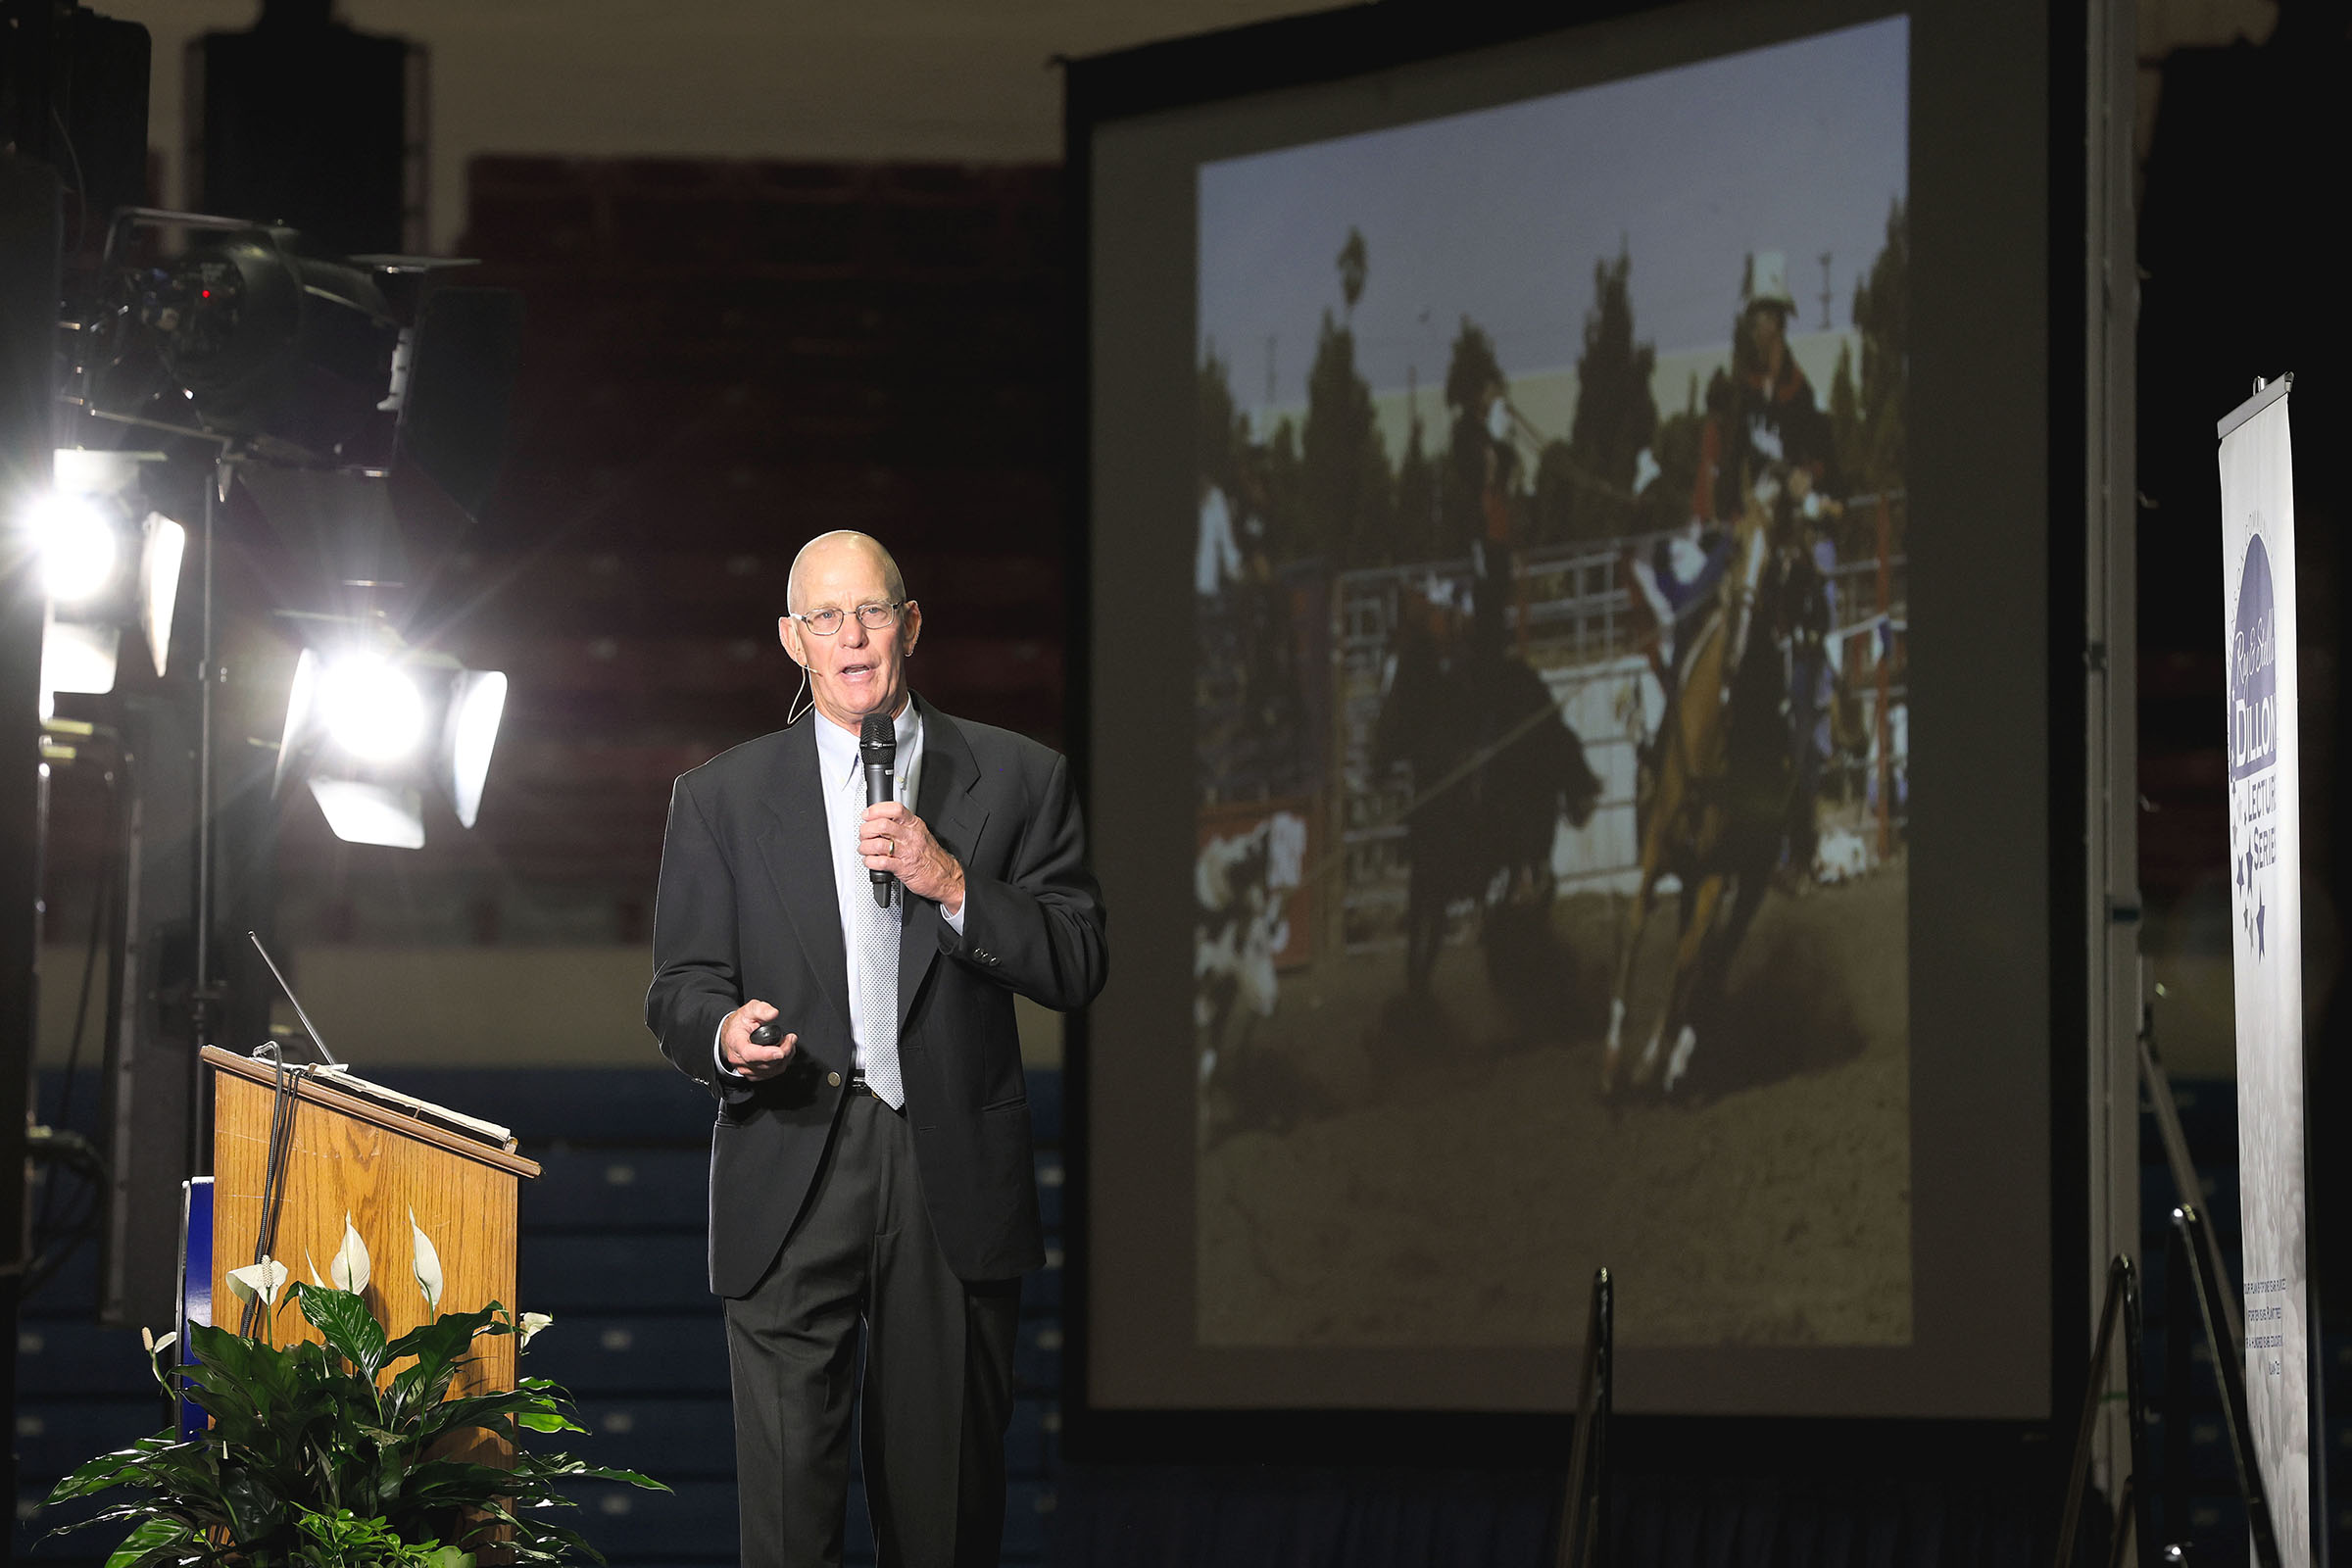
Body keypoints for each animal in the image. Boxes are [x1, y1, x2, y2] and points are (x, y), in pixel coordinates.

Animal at [1608, 496, 1806, 1100]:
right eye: (1736, 546)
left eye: (1780, 565)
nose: (1740, 639)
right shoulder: (1658, 849)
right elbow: (1636, 927)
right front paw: (1612, 1062)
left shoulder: (1720, 871)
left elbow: (1693, 959)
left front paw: (1657, 1060)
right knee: (1693, 953)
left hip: (1749, 878)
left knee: (1710, 960)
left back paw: (1672, 1059)